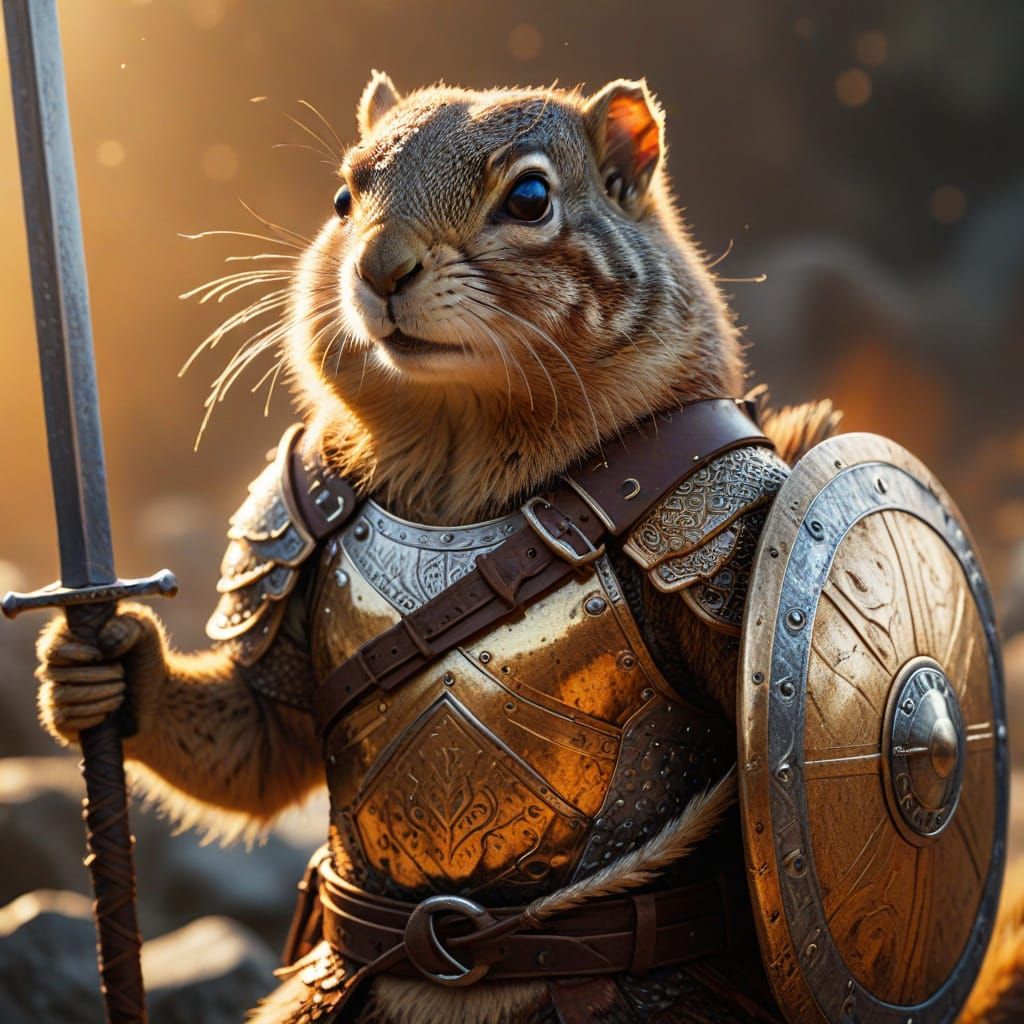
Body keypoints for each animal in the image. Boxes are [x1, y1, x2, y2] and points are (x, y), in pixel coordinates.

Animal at [34, 74, 1023, 1024]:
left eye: (532, 197)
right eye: (343, 196)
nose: (378, 267)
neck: (460, 459)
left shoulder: (720, 515)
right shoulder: (292, 516)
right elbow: (260, 737)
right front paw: (105, 662)